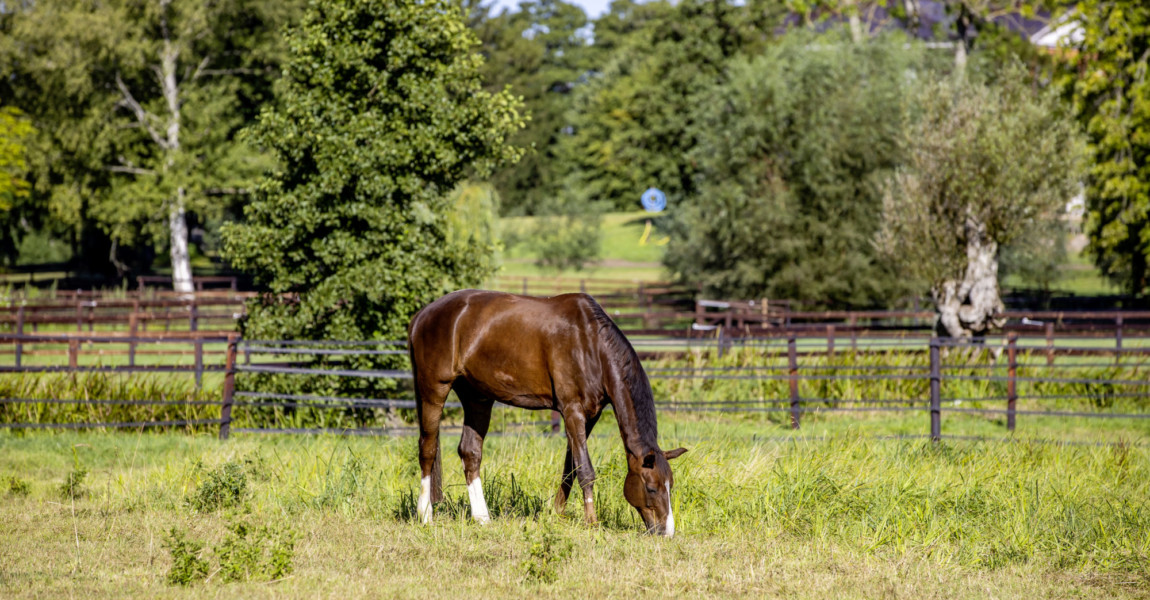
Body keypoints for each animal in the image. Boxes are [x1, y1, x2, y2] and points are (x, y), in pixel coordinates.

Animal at [409, 288, 685, 533]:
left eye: (671, 486)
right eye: (652, 488)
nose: (666, 531)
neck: (590, 344)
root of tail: (422, 314)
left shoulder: (589, 416)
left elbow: (569, 469)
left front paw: (556, 514)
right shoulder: (572, 411)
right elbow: (585, 470)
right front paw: (592, 522)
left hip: (477, 397)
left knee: (470, 452)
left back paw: (482, 518)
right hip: (434, 388)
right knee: (428, 448)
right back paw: (425, 514)